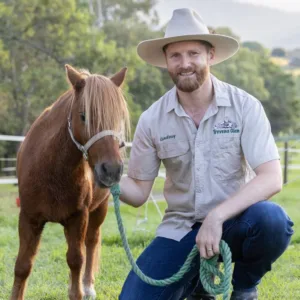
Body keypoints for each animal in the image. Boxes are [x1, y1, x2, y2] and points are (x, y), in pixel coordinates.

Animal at [10, 65, 130, 300]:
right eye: (83, 116)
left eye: (117, 118)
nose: (112, 170)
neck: (51, 169)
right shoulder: (29, 218)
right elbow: (23, 266)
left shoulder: (78, 217)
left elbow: (76, 260)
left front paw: (79, 290)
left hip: (100, 209)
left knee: (91, 241)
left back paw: (88, 285)